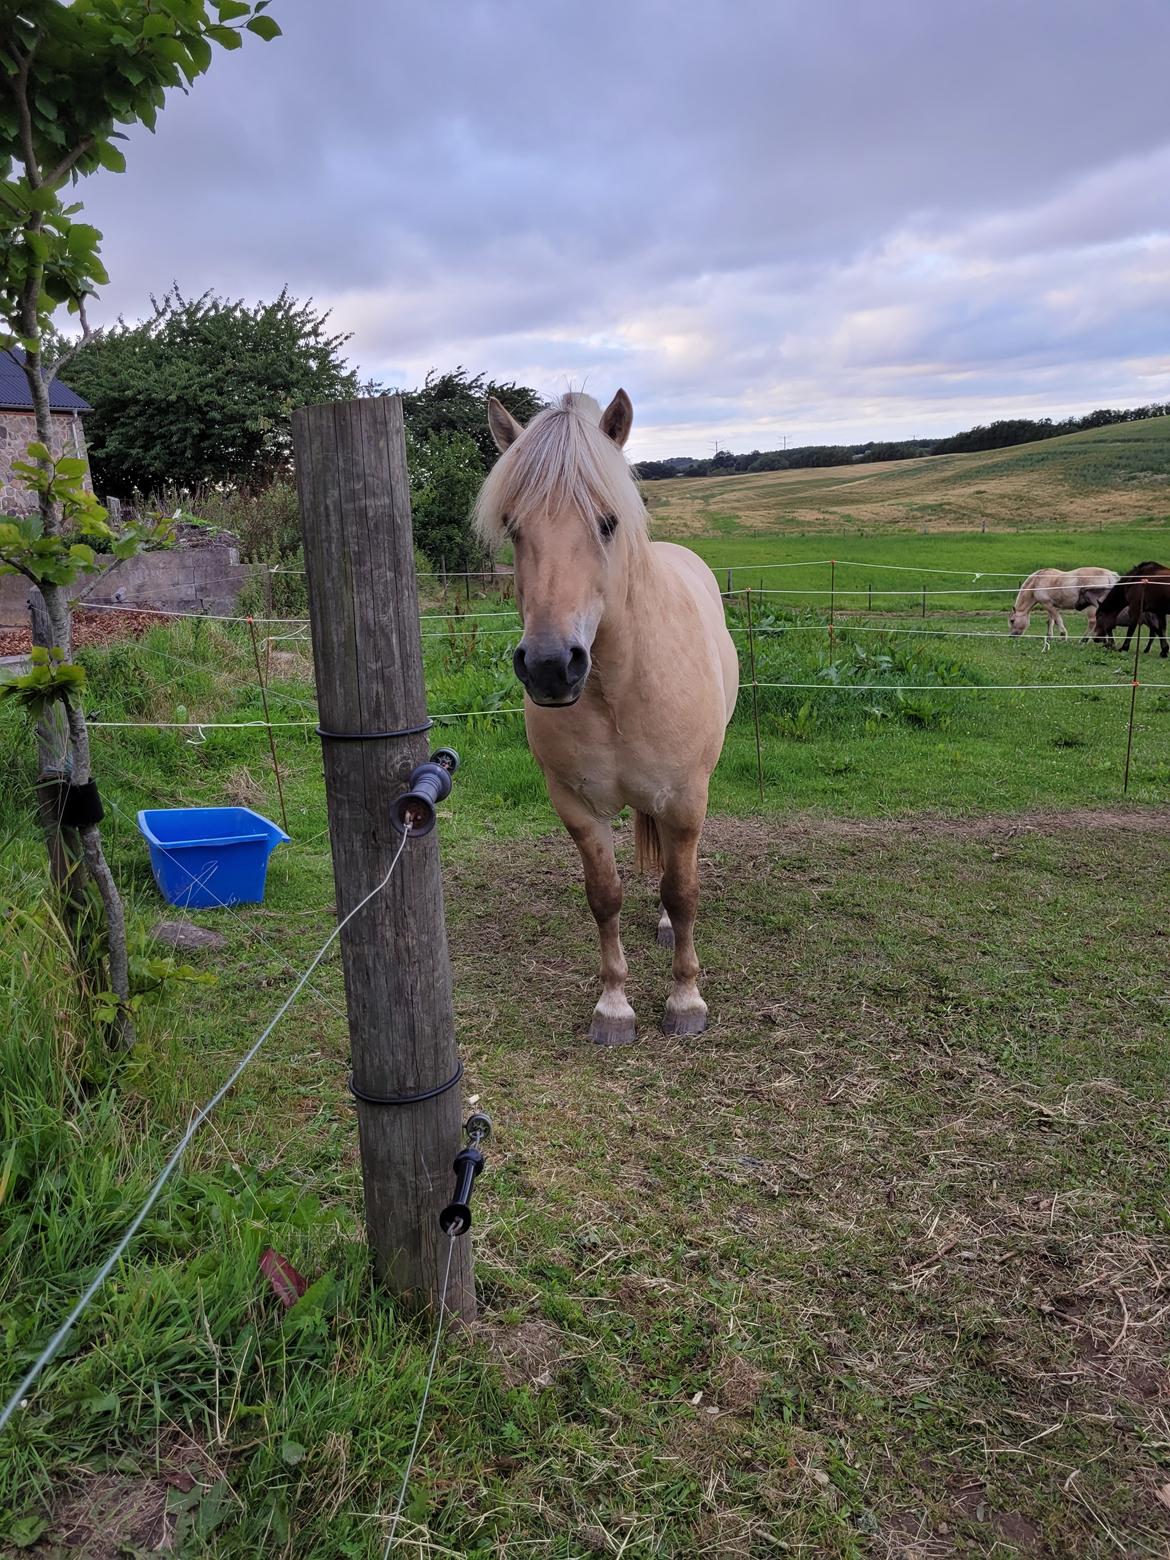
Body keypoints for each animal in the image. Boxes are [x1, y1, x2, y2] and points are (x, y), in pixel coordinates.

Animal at [474, 393, 733, 1048]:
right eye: (513, 526)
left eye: (608, 522)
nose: (549, 666)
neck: (620, 687)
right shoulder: (576, 808)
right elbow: (605, 896)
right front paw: (614, 1007)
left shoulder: (686, 799)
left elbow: (683, 892)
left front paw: (685, 999)